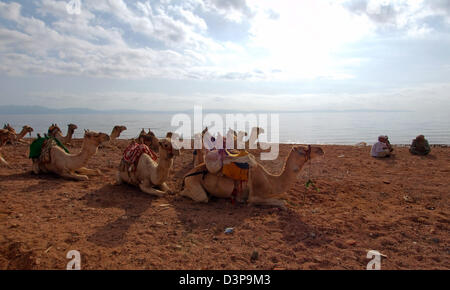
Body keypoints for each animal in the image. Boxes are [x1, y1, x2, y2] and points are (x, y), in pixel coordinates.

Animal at [181, 146, 326, 207]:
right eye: (303, 150)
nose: (321, 150)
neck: (271, 181)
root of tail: (187, 175)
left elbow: (283, 198)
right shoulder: (254, 196)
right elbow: (282, 203)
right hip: (193, 181)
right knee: (200, 197)